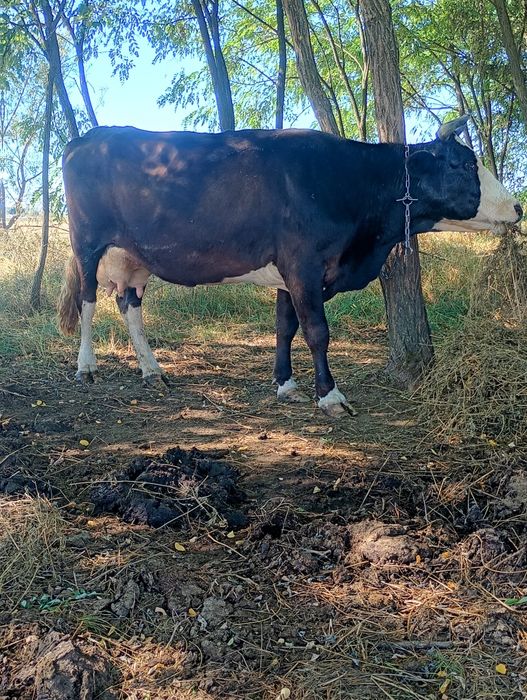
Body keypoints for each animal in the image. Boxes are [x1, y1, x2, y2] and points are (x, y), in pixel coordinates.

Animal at [58, 116, 522, 417]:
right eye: (464, 164)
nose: (518, 207)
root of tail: (88, 138)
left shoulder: (289, 272)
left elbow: (285, 326)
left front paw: (286, 385)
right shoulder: (303, 264)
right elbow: (316, 331)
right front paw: (330, 396)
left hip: (133, 257)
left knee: (129, 305)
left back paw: (152, 371)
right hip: (88, 244)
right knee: (88, 302)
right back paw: (86, 368)